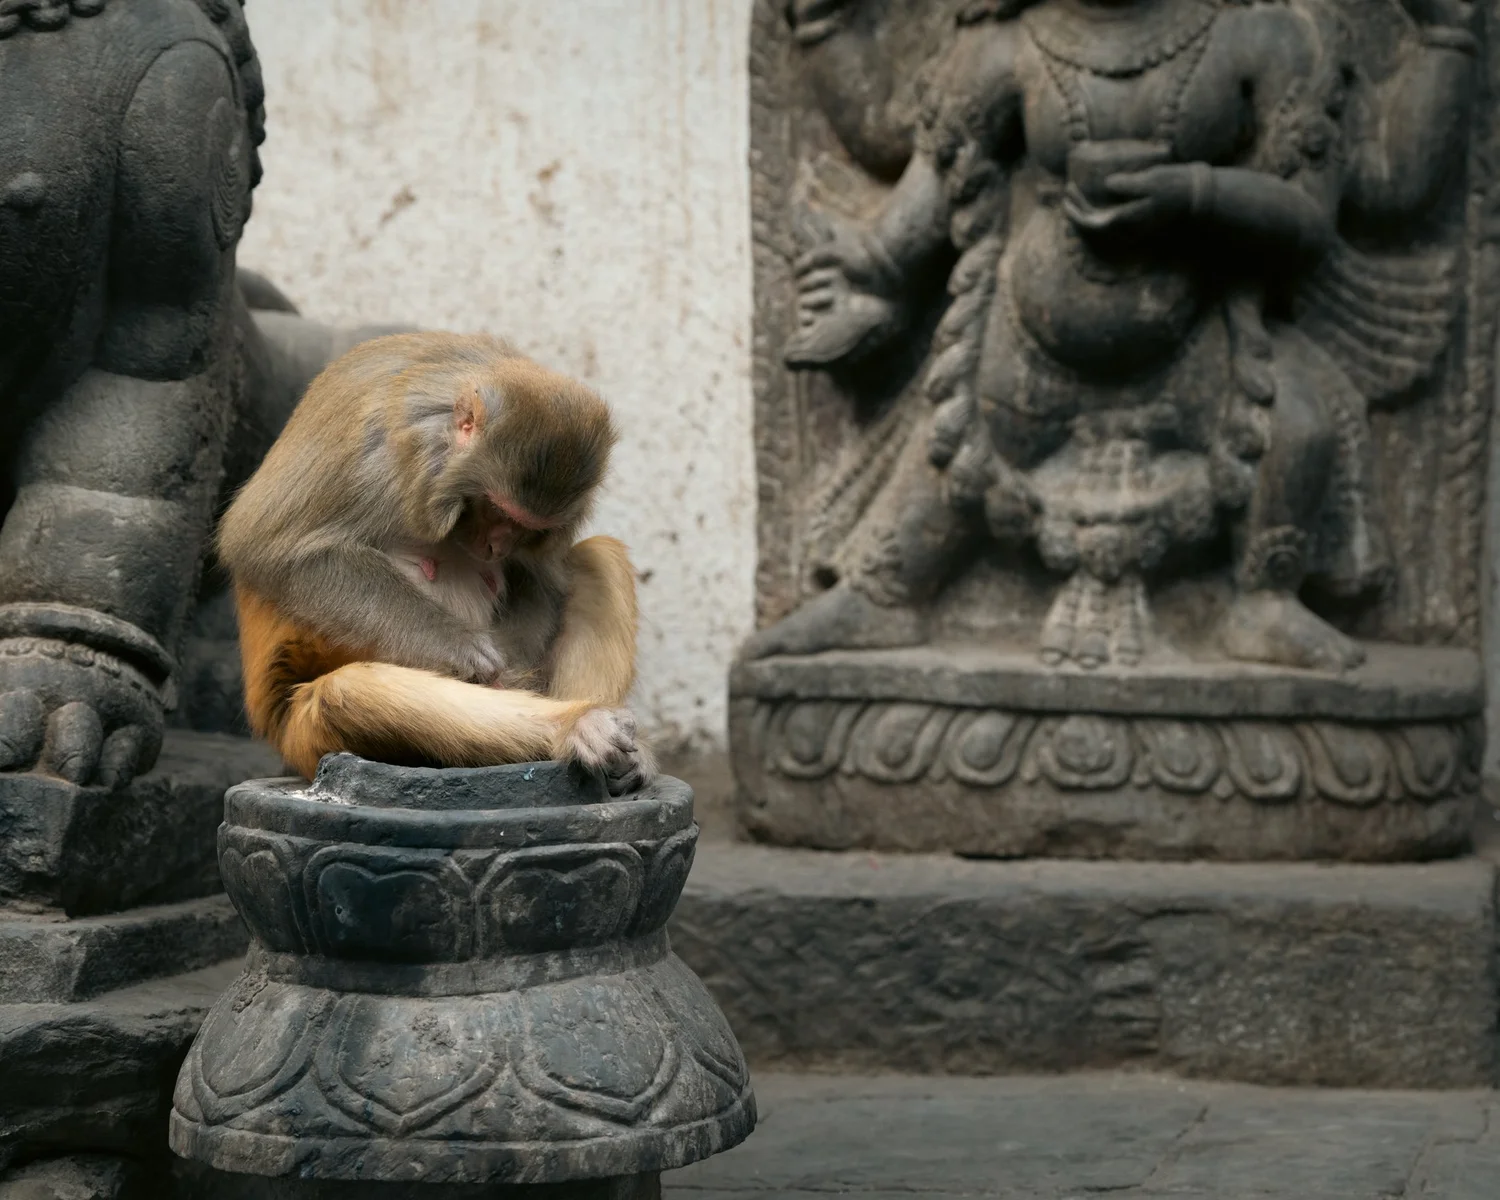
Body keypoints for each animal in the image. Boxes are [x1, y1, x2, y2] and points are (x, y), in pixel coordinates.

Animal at [217, 331, 655, 790]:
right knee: (344, 694)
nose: (496, 546)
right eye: (495, 510)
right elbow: (271, 549)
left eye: (525, 528)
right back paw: (575, 724)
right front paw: (464, 648)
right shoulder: (377, 451)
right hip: (300, 735)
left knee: (598, 559)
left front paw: (514, 663)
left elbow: (540, 582)